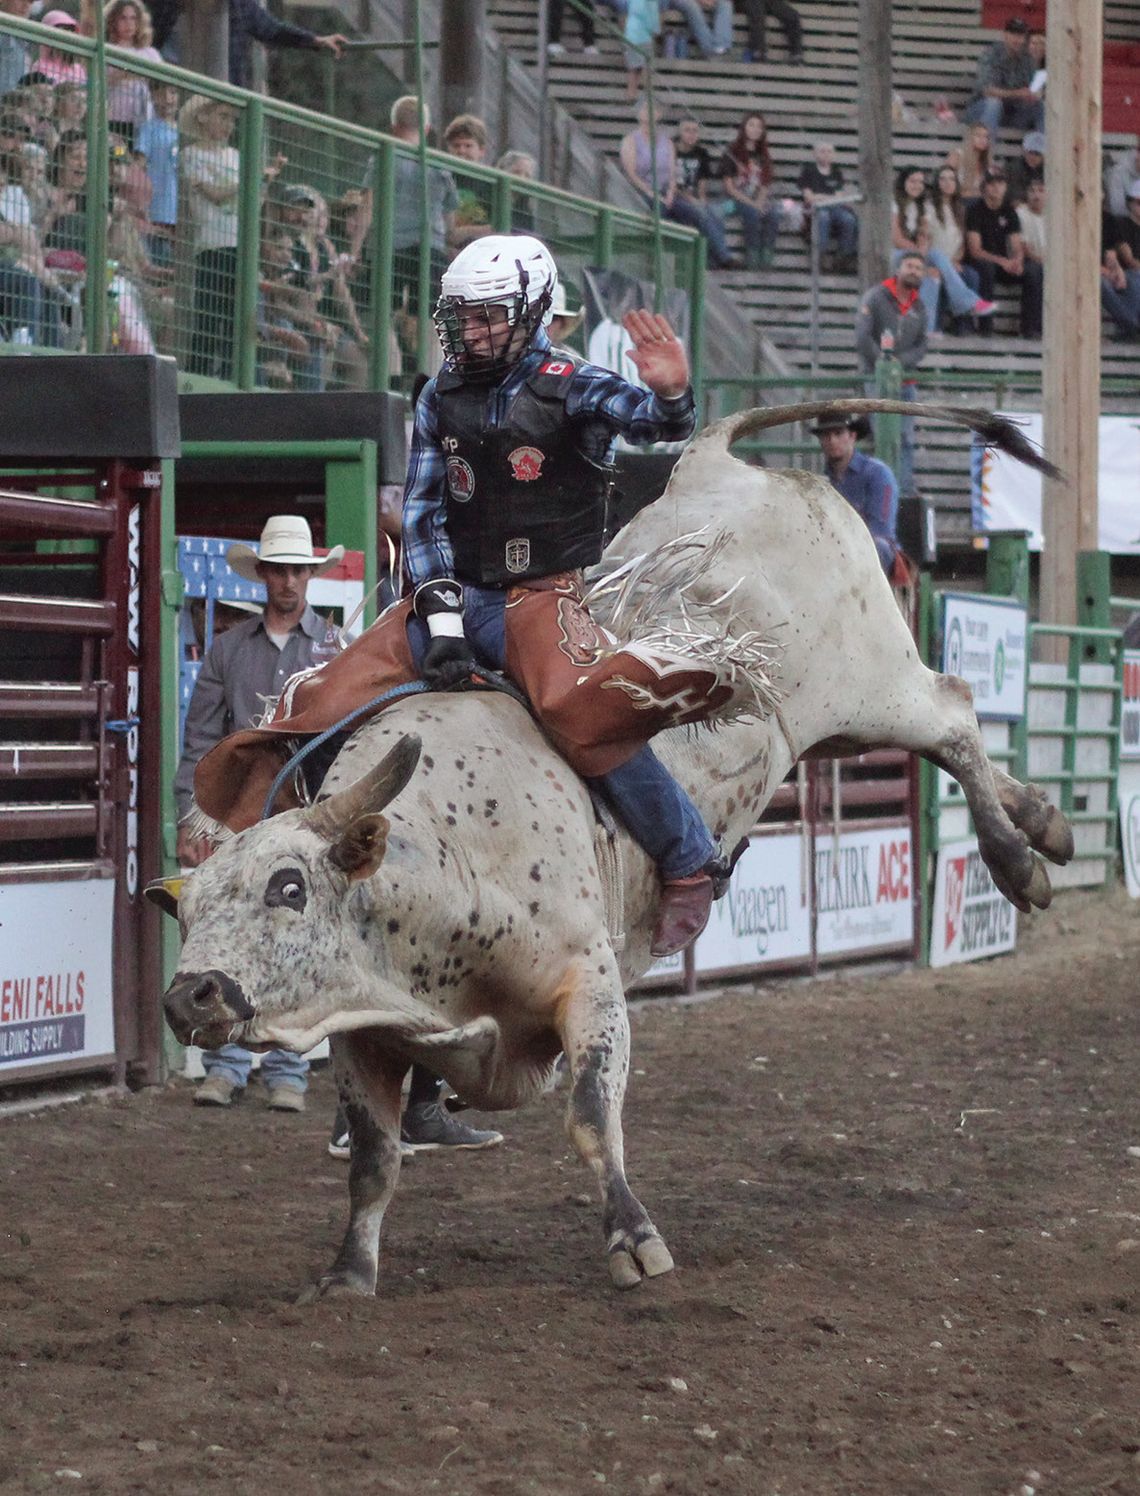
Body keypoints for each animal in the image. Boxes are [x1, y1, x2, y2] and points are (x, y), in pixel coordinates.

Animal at [155, 406, 1071, 1298]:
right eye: (188, 911)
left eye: (288, 887)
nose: (189, 996)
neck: (445, 867)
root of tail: (712, 463)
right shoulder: (364, 1032)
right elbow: (375, 1162)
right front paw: (348, 1273)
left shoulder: (588, 983)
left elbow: (592, 1117)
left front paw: (635, 1239)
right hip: (840, 728)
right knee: (949, 737)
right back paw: (1045, 823)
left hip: (873, 680)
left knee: (953, 712)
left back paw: (1017, 861)